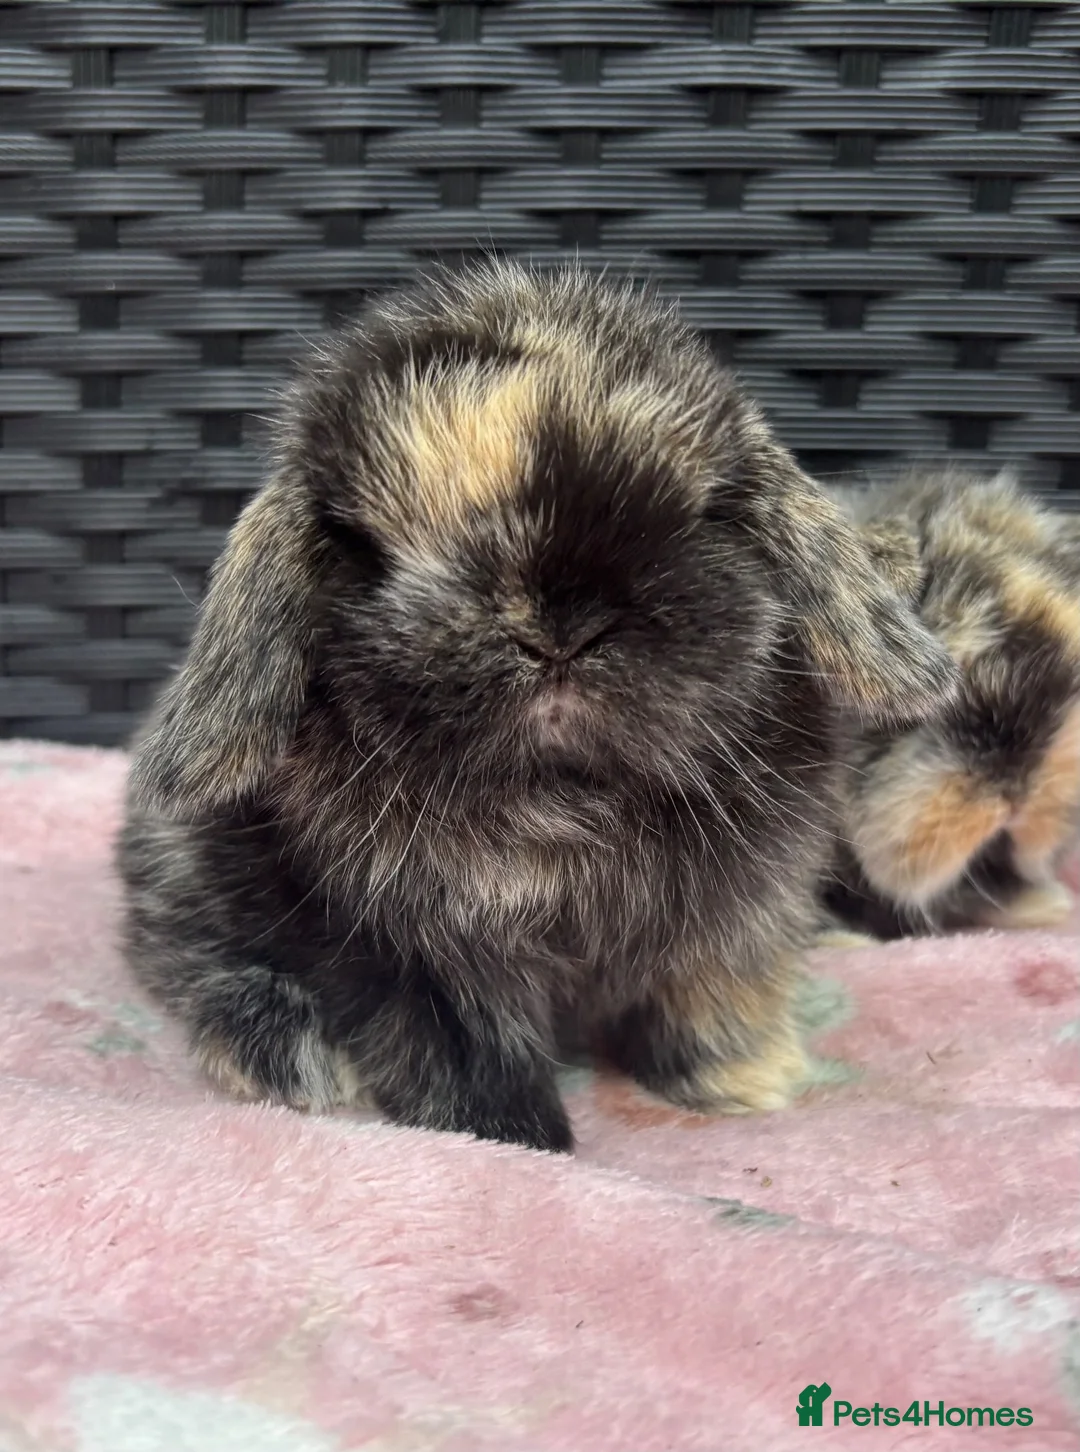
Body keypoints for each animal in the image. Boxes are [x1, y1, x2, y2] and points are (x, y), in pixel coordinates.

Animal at [117, 259, 956, 1152]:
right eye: (371, 549)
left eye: (701, 514)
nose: (558, 628)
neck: (564, 797)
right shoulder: (412, 952)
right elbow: (468, 1045)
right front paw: (511, 1138)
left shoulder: (736, 922)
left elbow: (710, 998)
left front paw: (739, 1087)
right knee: (191, 960)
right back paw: (276, 1051)